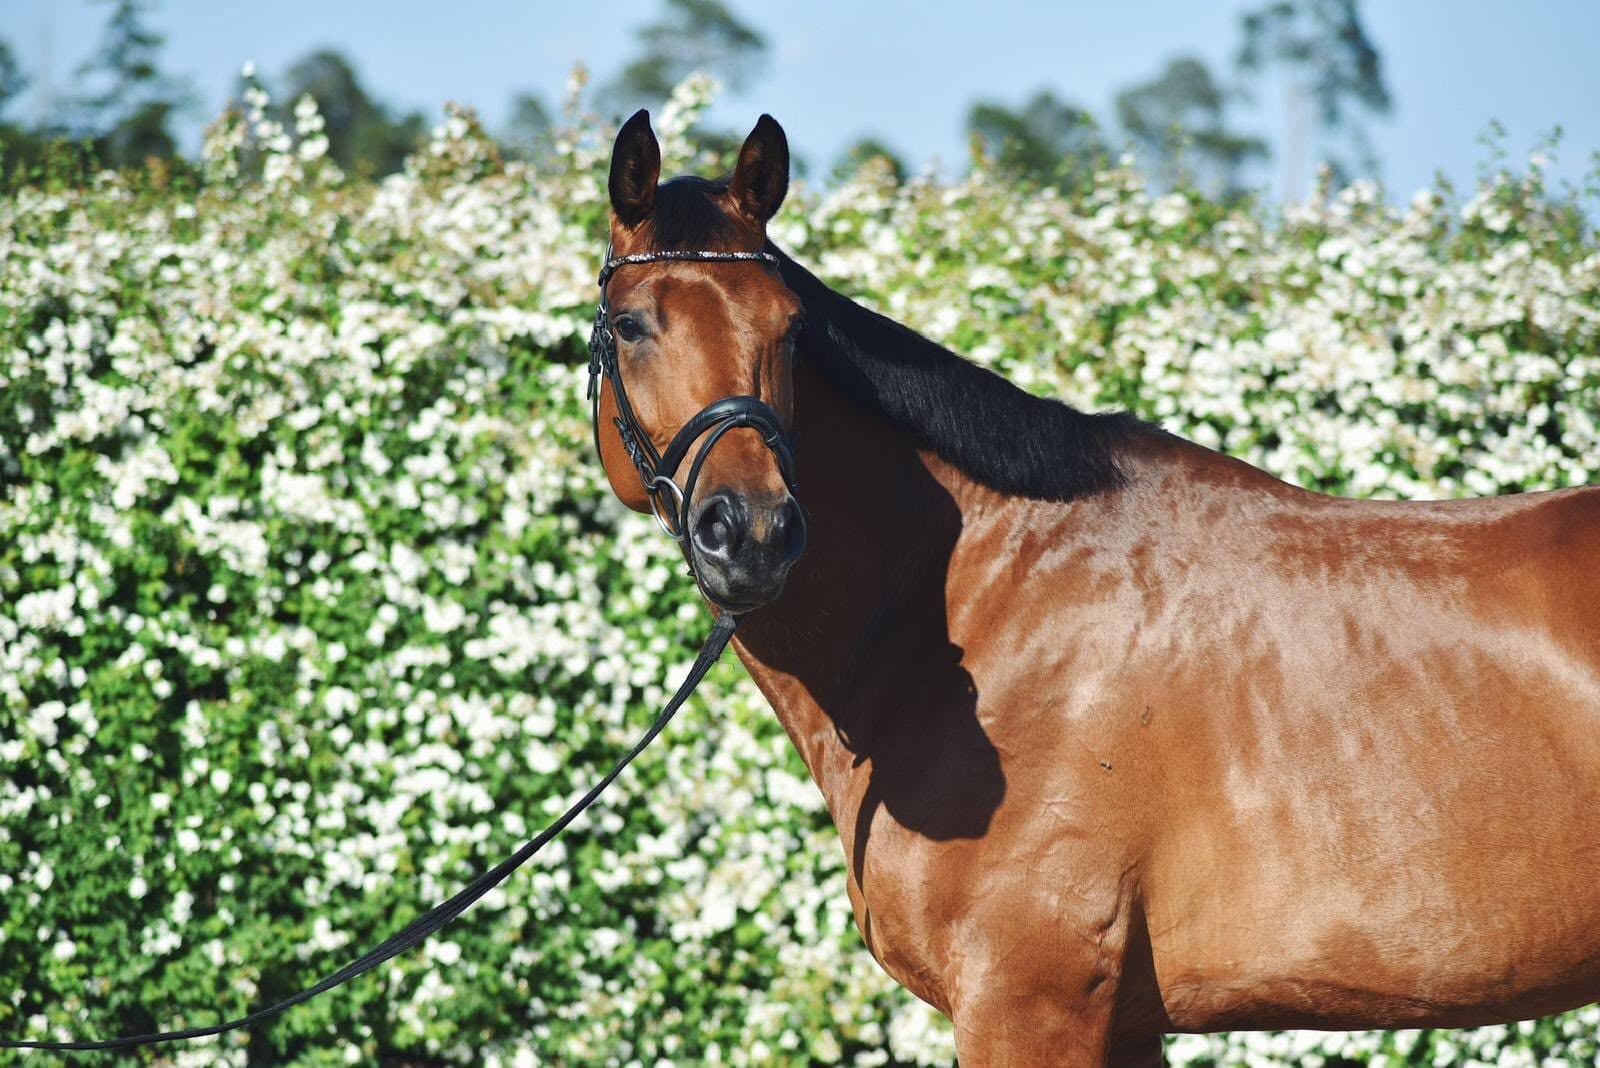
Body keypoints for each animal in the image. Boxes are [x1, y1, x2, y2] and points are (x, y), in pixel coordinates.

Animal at [589, 110, 1600, 1067]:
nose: (753, 532)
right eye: (632, 324)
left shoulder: (1028, 1003)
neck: (990, 614)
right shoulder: (1123, 1025)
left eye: (790, 330)